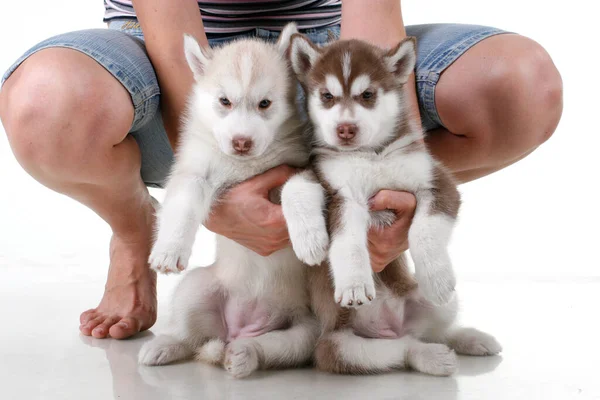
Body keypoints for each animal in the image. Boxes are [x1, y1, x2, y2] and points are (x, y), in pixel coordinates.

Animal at [140, 25, 318, 378]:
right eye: (225, 101)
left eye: (265, 103)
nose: (241, 142)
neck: (244, 164)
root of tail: (237, 327)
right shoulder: (195, 172)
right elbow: (183, 205)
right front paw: (169, 249)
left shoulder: (300, 169)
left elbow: (295, 190)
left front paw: (309, 240)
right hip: (196, 288)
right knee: (190, 337)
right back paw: (163, 346)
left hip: (306, 331)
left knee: (272, 348)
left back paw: (243, 355)